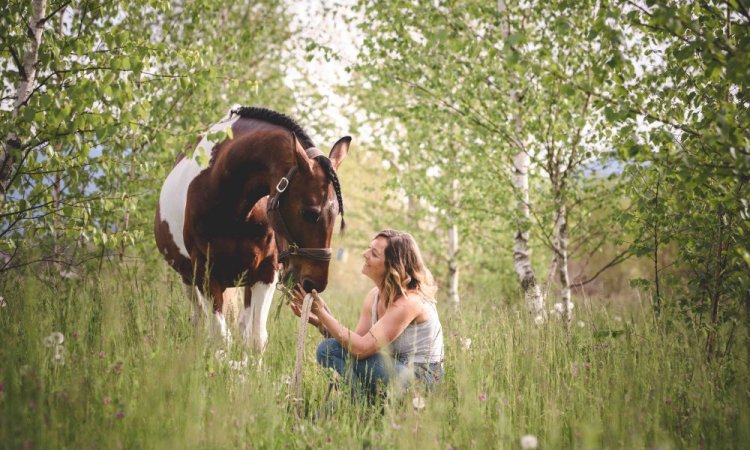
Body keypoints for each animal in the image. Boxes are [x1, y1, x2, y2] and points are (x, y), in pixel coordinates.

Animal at [155, 106, 352, 352]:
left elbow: (255, 338)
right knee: (200, 321)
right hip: (188, 278)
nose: (314, 282)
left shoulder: (265, 272)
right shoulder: (205, 272)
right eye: (309, 213)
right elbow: (221, 337)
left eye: (336, 216)